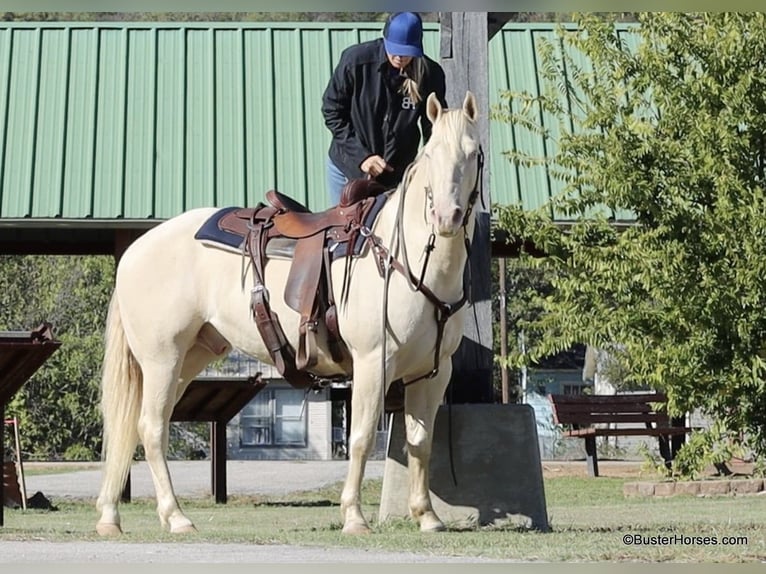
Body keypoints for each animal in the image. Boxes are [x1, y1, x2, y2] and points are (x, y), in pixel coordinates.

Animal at [94, 89, 480, 536]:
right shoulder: (373, 362)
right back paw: (176, 517)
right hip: (161, 357)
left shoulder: (432, 373)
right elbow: (363, 437)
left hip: (190, 356)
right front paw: (354, 516)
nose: (446, 217)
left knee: (135, 425)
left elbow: (420, 442)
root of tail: (134, 250)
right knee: (151, 427)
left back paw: (111, 516)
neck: (405, 257)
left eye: (473, 153)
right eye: (431, 154)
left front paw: (427, 516)